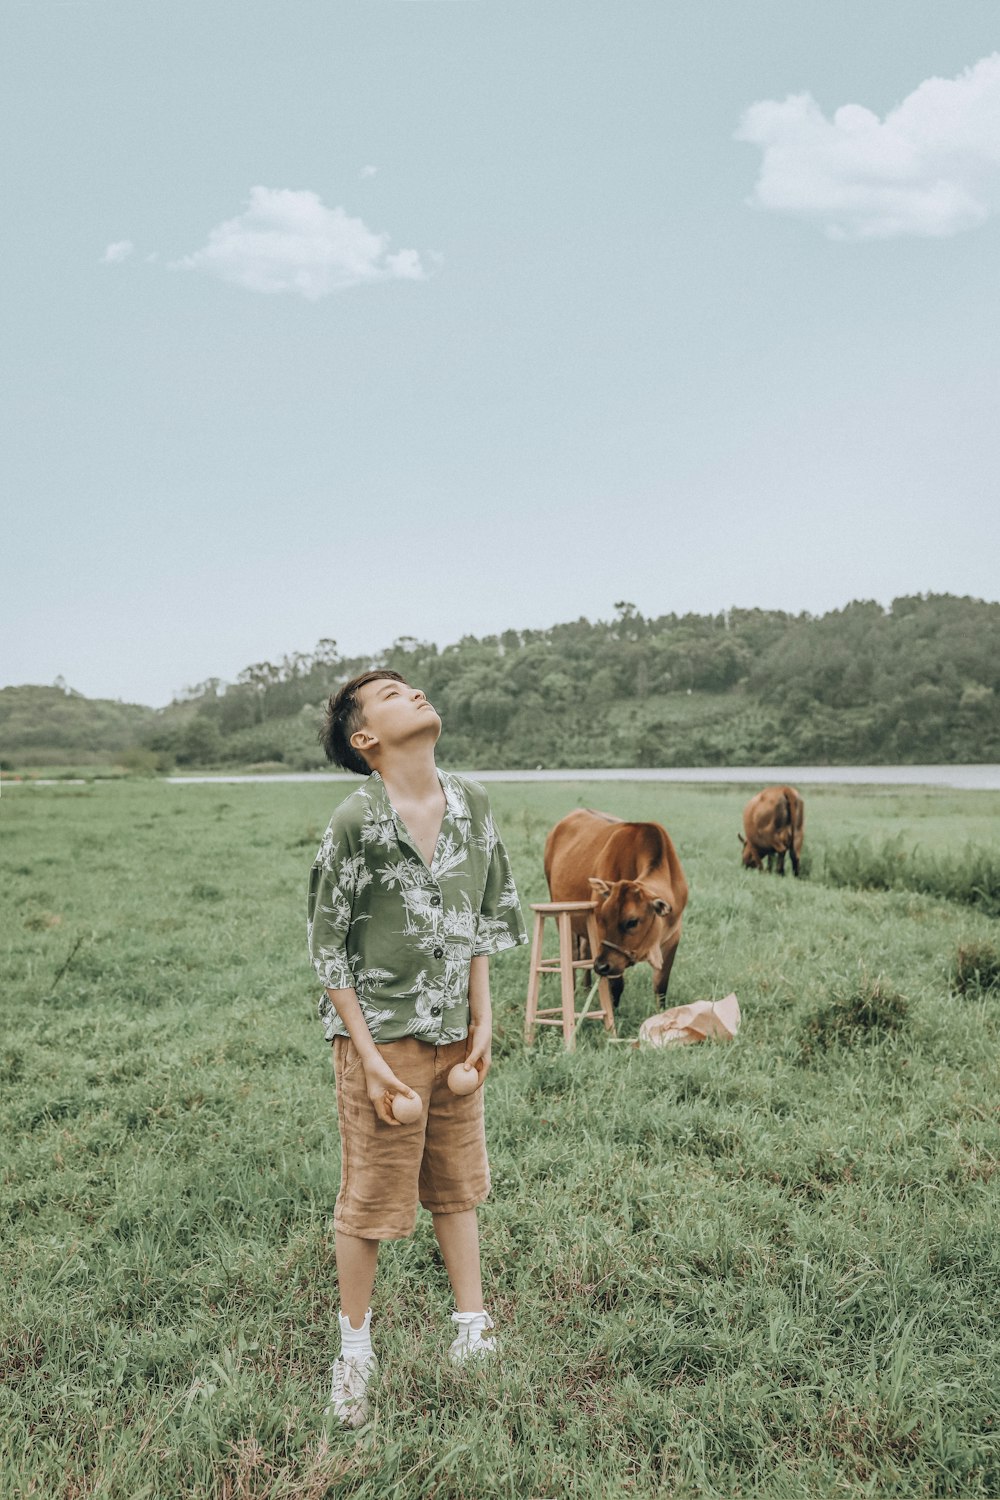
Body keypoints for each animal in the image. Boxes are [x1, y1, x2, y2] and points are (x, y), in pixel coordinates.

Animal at [548, 810, 689, 1008]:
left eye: (632, 922)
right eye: (602, 917)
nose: (601, 966)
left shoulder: (673, 937)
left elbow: (661, 986)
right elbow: (616, 986)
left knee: (584, 952)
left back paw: (586, 989)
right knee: (573, 956)